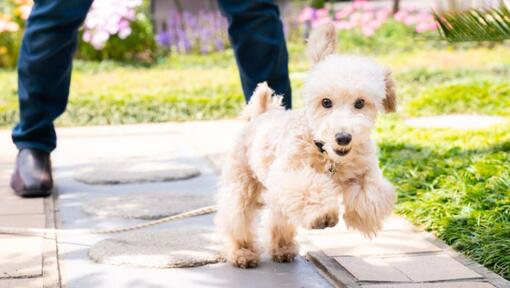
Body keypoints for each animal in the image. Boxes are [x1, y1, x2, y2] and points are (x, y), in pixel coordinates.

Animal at [215, 22, 398, 268]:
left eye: (360, 103)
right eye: (326, 102)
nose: (343, 137)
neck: (327, 155)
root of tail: (261, 114)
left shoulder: (363, 171)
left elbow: (371, 193)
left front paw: (361, 216)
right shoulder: (290, 174)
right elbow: (309, 189)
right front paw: (324, 215)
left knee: (278, 219)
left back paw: (282, 248)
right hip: (242, 183)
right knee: (237, 217)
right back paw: (242, 252)